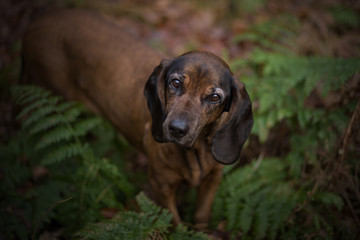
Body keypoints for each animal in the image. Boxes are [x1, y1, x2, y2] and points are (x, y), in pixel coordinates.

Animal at [22, 8, 253, 227]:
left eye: (214, 97)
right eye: (176, 82)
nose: (176, 129)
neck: (196, 150)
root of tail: (41, 16)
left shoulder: (212, 181)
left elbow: (201, 216)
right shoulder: (161, 187)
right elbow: (173, 223)